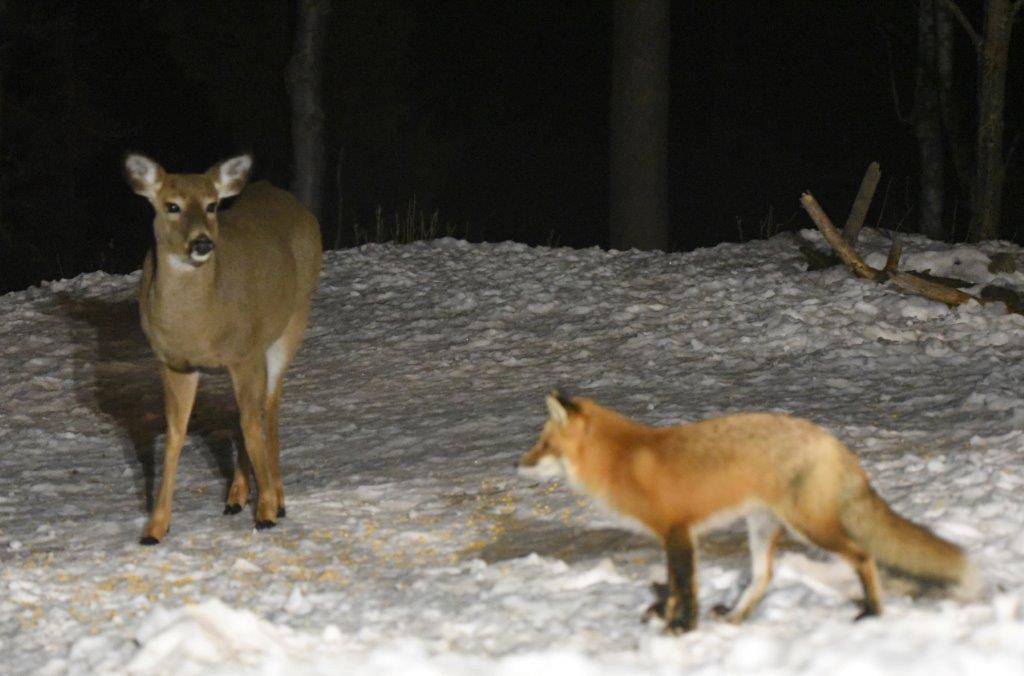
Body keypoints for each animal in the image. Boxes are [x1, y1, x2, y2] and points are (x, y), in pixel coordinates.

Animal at [124, 153, 322, 545]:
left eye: (212, 205)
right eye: (172, 206)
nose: (202, 243)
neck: (197, 326)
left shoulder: (246, 353)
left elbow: (252, 423)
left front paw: (267, 510)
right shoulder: (174, 363)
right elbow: (175, 435)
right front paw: (155, 527)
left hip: (292, 322)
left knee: (267, 409)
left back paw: (276, 497)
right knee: (245, 413)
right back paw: (236, 497)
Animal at [519, 391, 972, 633]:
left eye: (544, 445)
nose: (518, 464)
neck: (622, 459)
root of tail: (832, 441)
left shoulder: (677, 531)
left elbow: (685, 586)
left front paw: (683, 628)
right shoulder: (674, 535)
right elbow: (674, 585)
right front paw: (671, 621)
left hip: (811, 527)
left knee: (864, 557)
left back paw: (874, 612)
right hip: (763, 526)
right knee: (764, 576)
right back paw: (736, 617)